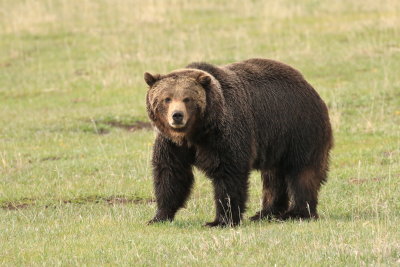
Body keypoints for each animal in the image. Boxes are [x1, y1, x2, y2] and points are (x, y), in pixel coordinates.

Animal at [145, 58, 332, 228]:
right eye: (167, 98)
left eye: (187, 99)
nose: (177, 116)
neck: (196, 133)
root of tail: (311, 89)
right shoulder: (172, 144)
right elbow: (171, 173)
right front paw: (159, 216)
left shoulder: (225, 134)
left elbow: (229, 173)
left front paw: (221, 220)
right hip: (276, 142)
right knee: (273, 177)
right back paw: (265, 213)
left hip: (299, 130)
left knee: (301, 172)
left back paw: (297, 213)